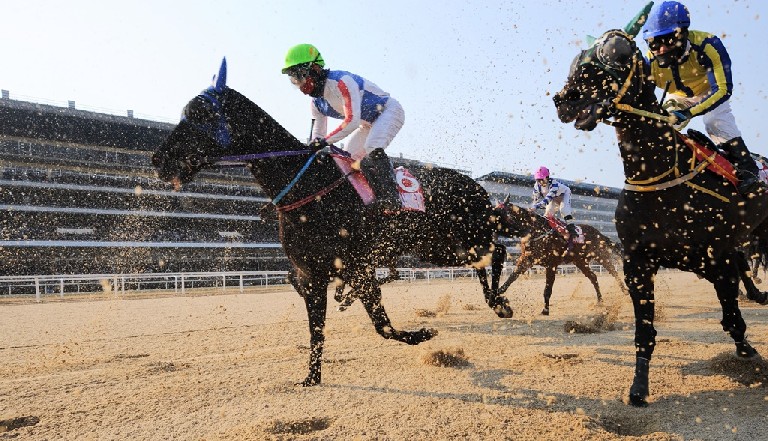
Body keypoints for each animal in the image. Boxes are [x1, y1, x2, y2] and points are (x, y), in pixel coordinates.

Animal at [151, 59, 512, 384]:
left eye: (201, 114)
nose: (158, 159)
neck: (309, 186)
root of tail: (477, 186)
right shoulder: (312, 275)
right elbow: (318, 331)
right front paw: (312, 377)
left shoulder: (359, 266)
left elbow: (382, 326)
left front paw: (422, 333)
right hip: (440, 249)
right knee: (485, 259)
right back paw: (496, 301)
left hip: (463, 237)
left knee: (498, 253)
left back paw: (500, 301)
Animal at [496, 198, 628, 314]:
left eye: (498, 213)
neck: (536, 231)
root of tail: (599, 233)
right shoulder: (527, 259)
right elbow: (512, 276)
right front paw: (497, 293)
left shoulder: (551, 264)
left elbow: (547, 289)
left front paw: (545, 310)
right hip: (580, 261)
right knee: (593, 277)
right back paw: (600, 300)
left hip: (600, 255)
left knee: (613, 271)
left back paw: (624, 290)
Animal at [556, 28, 768, 406]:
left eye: (616, 53)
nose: (563, 99)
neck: (659, 177)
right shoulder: (639, 262)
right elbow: (645, 331)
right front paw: (638, 387)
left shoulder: (718, 257)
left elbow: (733, 319)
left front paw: (750, 355)